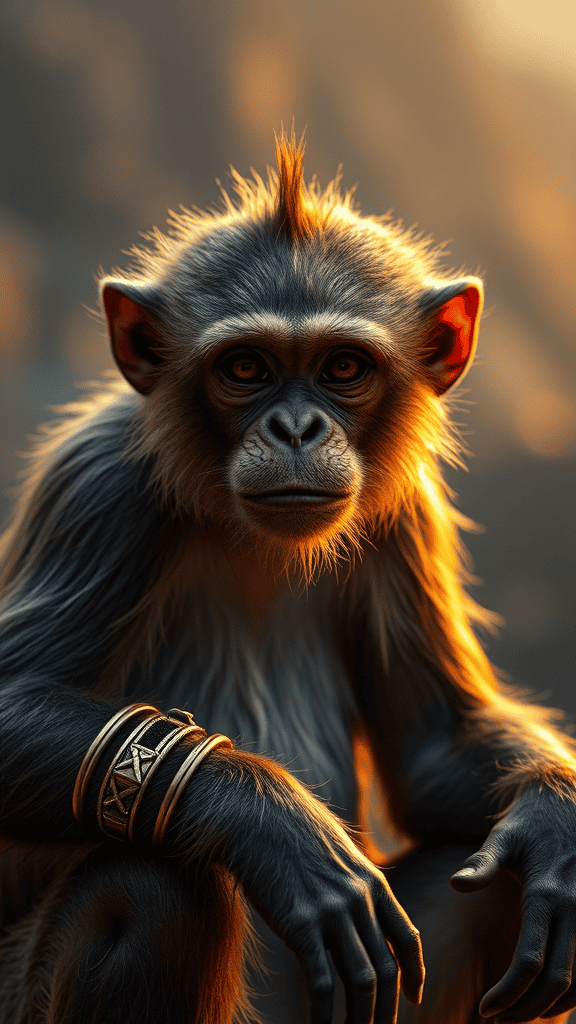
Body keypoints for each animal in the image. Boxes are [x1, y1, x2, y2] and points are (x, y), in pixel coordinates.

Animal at [1, 132, 576, 1024]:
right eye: (245, 368)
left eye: (342, 367)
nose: (297, 426)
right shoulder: (96, 485)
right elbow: (11, 699)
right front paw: (274, 824)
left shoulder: (407, 516)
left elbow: (436, 746)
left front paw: (556, 818)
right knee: (153, 883)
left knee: (496, 882)